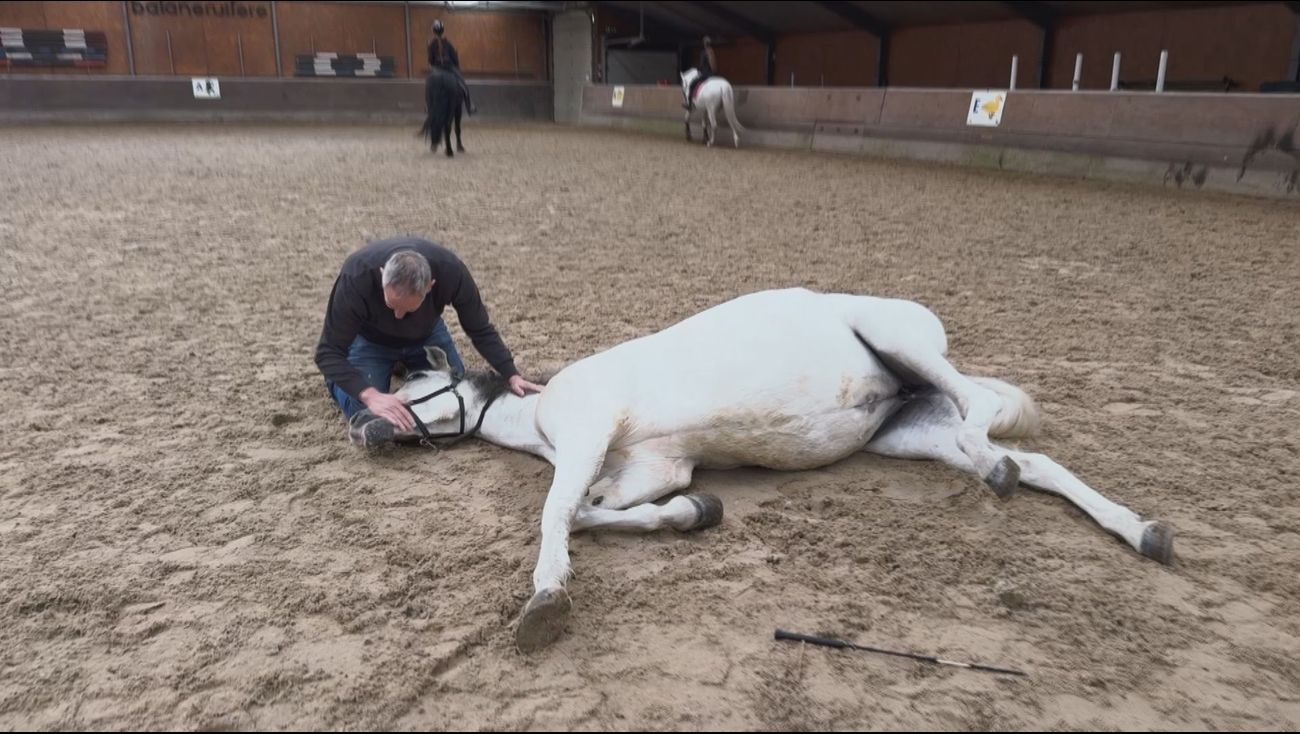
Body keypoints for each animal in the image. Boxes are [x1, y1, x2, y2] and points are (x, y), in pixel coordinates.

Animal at [352, 288, 1175, 653]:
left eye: (409, 385)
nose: (365, 429)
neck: (547, 416)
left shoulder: (588, 432)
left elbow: (560, 512)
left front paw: (547, 598)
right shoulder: (654, 470)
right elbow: (605, 508)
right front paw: (697, 516)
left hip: (905, 346)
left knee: (984, 409)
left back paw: (996, 466)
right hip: (913, 430)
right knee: (1033, 461)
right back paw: (1142, 532)